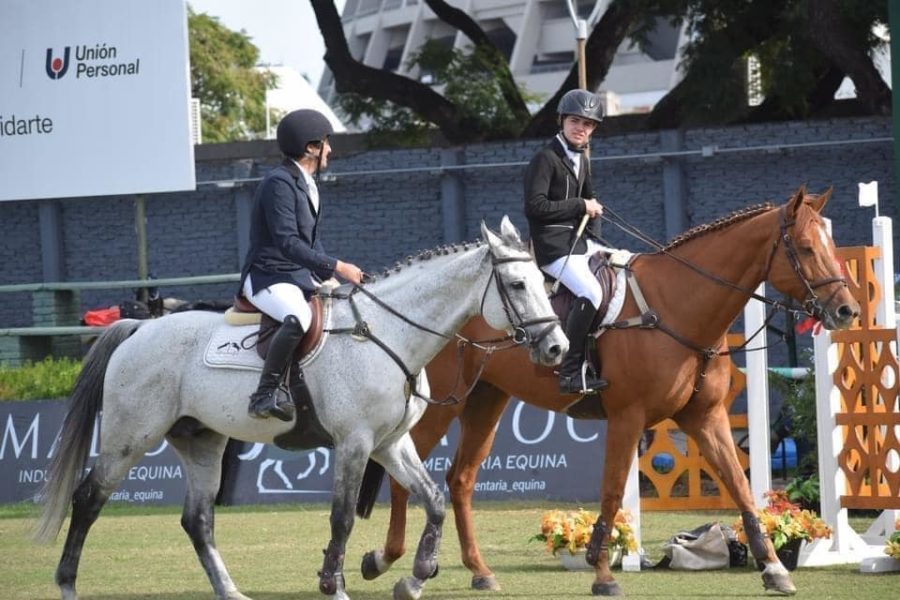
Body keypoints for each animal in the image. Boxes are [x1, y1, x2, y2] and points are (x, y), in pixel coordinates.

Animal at [358, 189, 856, 596]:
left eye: (831, 246)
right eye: (806, 248)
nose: (847, 311)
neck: (676, 305)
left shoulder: (706, 417)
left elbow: (741, 487)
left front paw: (774, 569)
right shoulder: (627, 417)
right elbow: (613, 494)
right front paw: (602, 573)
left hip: (486, 400)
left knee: (459, 480)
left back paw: (479, 571)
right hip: (443, 405)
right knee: (405, 474)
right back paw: (387, 559)